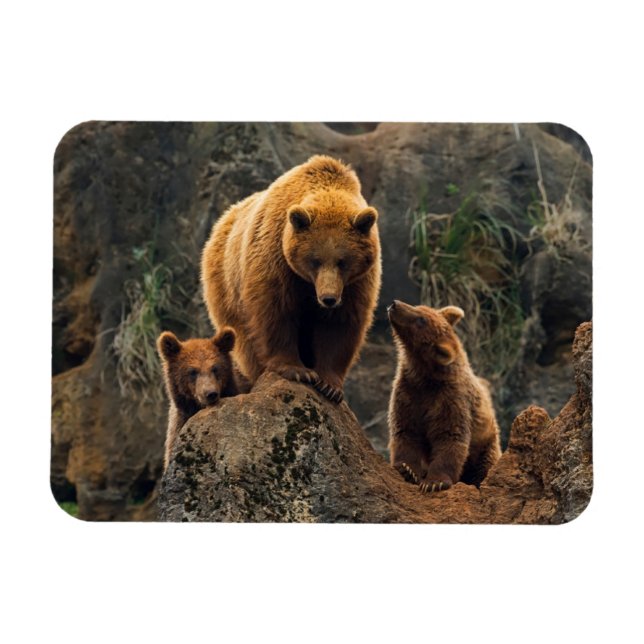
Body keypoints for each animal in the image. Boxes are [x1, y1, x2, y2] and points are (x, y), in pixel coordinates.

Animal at [201, 155, 381, 403]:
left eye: (342, 261)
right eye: (315, 260)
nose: (328, 298)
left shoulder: (356, 283)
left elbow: (339, 324)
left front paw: (329, 385)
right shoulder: (276, 258)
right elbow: (276, 311)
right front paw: (297, 371)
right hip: (227, 288)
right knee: (245, 340)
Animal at [387, 300, 501, 492]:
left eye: (421, 320)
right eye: (419, 307)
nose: (395, 304)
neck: (425, 376)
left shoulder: (450, 399)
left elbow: (449, 437)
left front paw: (434, 482)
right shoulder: (408, 392)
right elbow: (406, 431)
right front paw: (407, 469)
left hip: (486, 444)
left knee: (485, 466)